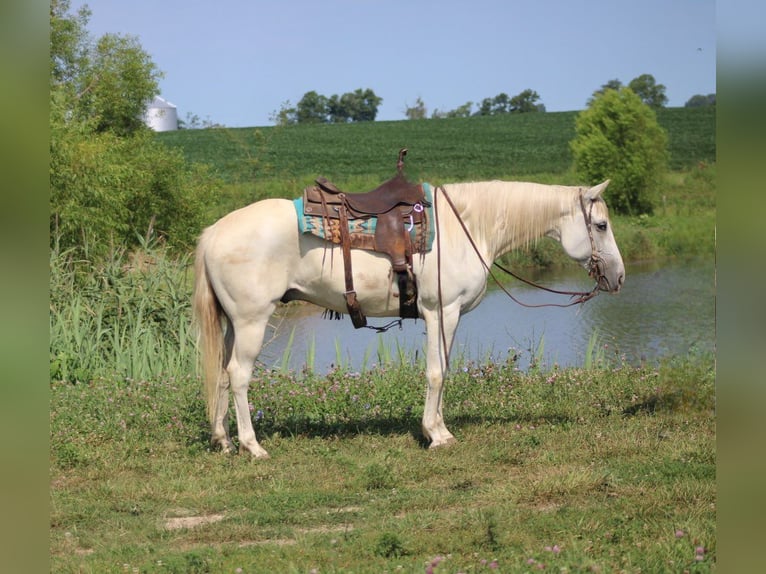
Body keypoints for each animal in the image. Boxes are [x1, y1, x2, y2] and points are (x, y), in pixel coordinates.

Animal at [193, 179, 625, 458]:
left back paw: (223, 440)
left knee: (221, 373)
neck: (465, 228)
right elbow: (437, 371)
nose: (619, 277)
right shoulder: (442, 313)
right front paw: (436, 434)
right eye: (601, 225)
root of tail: (213, 232)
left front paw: (437, 428)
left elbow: (442, 370)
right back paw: (253, 446)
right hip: (252, 321)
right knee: (239, 376)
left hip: (233, 325)